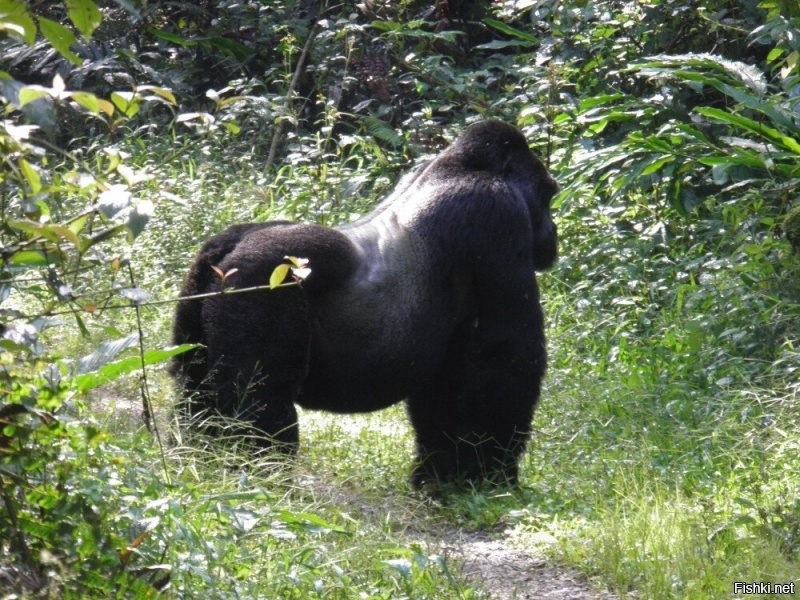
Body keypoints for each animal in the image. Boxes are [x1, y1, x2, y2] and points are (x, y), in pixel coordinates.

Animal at [170, 118, 556, 488]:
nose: (552, 234)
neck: (456, 167)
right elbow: (505, 353)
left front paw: (444, 476)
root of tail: (227, 251)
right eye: (549, 194)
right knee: (262, 396)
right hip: (261, 279)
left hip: (201, 280)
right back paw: (263, 478)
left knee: (194, 379)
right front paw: (490, 474)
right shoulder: (496, 210)